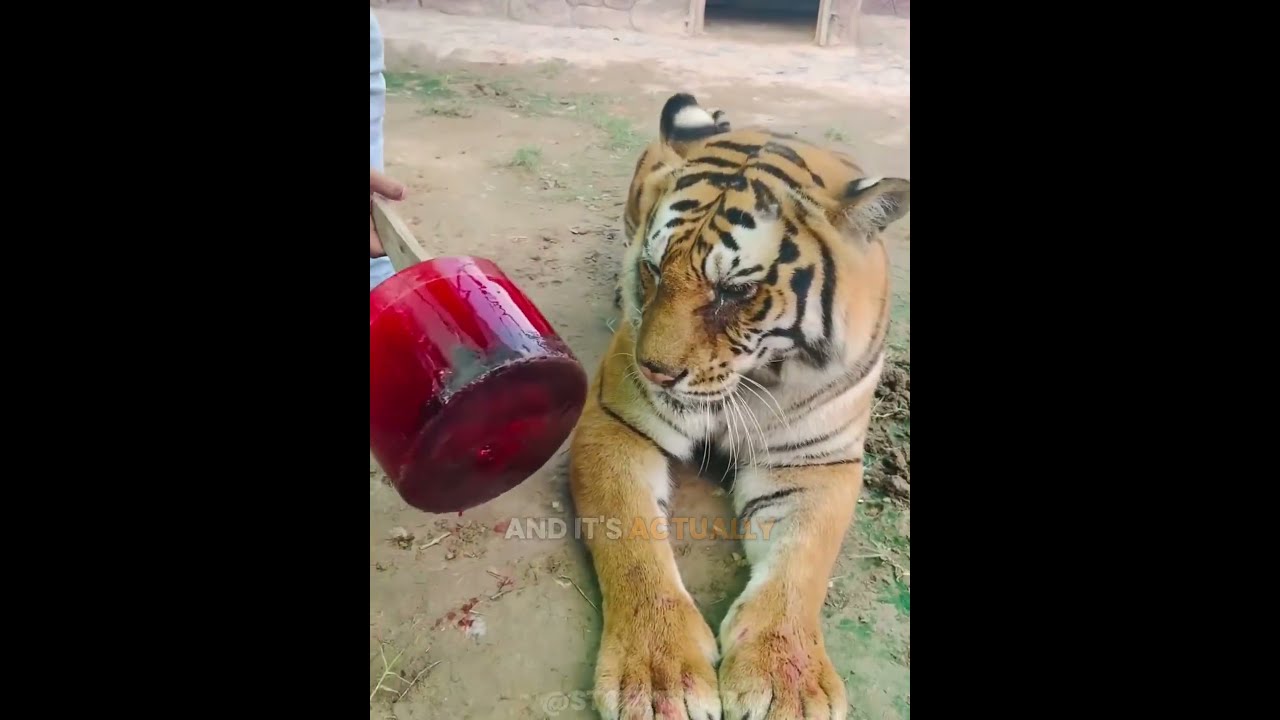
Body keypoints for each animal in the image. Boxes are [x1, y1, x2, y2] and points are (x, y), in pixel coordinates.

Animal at [568, 92, 910, 720]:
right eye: (654, 269)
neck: (750, 380)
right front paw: (657, 674)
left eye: (735, 292)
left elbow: (800, 564)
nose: (652, 370)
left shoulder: (815, 462)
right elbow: (630, 540)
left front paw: (786, 681)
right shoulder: (616, 422)